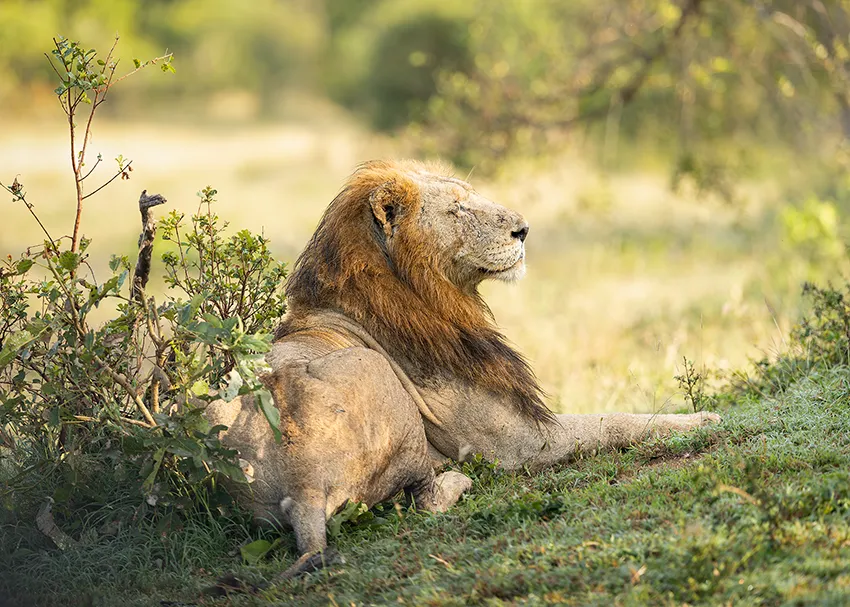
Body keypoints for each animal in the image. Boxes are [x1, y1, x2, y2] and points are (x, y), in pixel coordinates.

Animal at [206, 159, 720, 580]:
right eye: (458, 210)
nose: (524, 230)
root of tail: (304, 488)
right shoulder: (518, 443)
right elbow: (616, 421)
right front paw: (702, 420)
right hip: (379, 379)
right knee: (425, 500)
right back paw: (457, 480)